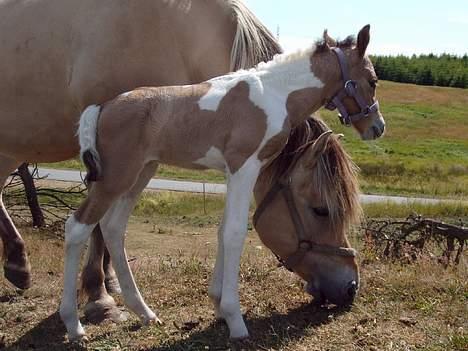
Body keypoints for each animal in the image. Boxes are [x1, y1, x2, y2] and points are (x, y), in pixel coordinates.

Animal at [59, 25, 384, 340]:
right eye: (372, 80)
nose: (377, 127)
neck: (276, 94)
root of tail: (101, 108)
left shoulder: (232, 173)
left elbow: (222, 230)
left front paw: (218, 305)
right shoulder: (245, 166)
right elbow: (235, 232)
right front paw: (235, 320)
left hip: (140, 174)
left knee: (113, 227)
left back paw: (145, 313)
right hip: (116, 178)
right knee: (77, 227)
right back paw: (74, 325)